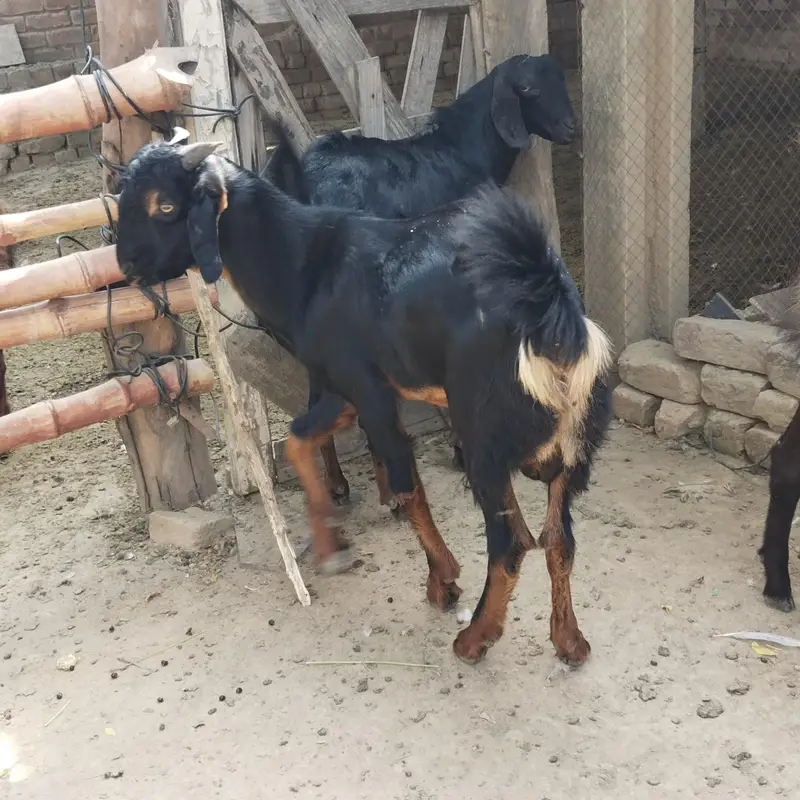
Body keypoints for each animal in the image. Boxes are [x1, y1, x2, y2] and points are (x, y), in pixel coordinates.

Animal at [114, 137, 612, 664]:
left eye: (166, 206)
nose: (126, 266)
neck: (303, 265)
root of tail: (549, 313)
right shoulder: (340, 391)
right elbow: (301, 441)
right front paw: (334, 540)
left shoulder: (366, 389)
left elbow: (405, 487)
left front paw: (440, 578)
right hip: (571, 442)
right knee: (559, 540)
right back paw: (569, 640)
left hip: (485, 439)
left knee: (512, 542)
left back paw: (475, 637)